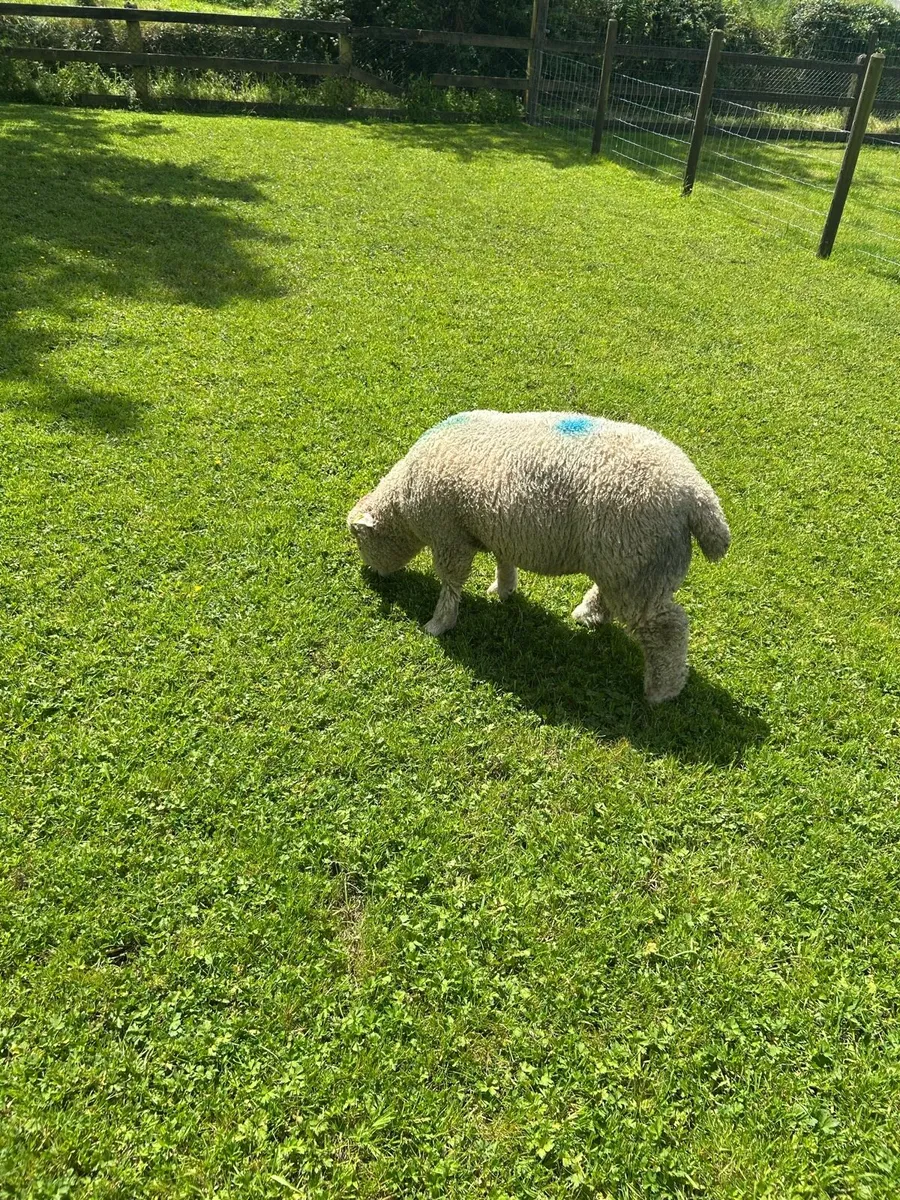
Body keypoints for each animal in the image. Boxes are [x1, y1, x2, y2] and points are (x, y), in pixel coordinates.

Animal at [347, 410, 730, 703]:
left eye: (359, 540)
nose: (373, 576)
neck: (405, 505)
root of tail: (700, 499)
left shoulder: (448, 536)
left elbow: (451, 582)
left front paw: (439, 624)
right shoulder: (496, 527)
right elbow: (503, 562)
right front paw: (503, 590)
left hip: (636, 561)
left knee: (668, 629)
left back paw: (661, 691)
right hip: (625, 562)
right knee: (614, 598)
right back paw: (588, 615)